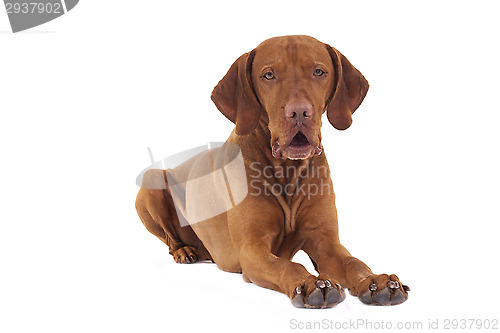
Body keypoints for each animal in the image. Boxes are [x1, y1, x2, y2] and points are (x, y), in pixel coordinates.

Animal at [135, 35, 408, 308]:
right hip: (151, 181)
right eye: (268, 75)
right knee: (170, 239)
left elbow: (354, 262)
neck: (287, 171)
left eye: (319, 72)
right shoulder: (252, 249)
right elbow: (289, 266)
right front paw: (310, 284)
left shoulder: (326, 242)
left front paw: (376, 281)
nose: (299, 112)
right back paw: (184, 251)